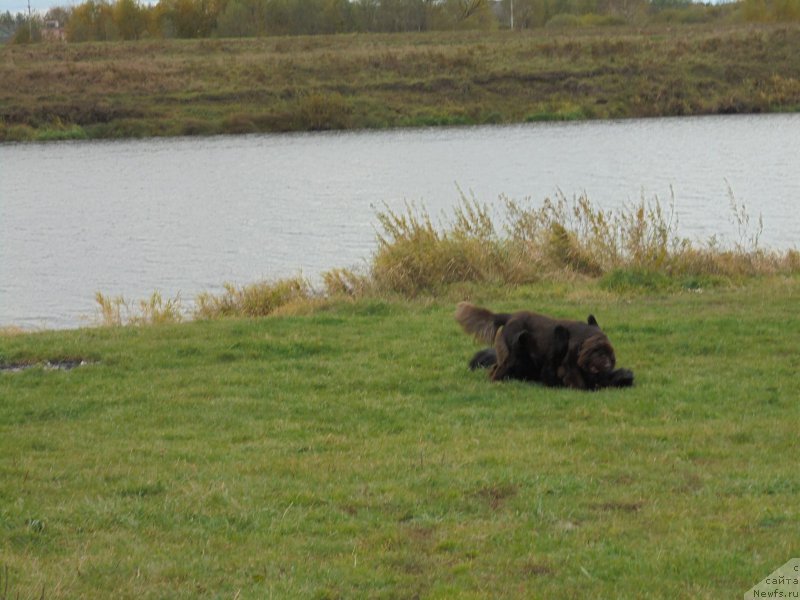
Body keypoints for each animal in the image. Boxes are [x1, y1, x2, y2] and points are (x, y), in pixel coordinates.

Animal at [456, 302, 632, 392]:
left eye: (611, 356)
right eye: (601, 354)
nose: (609, 364)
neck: (583, 339)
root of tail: (509, 317)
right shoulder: (569, 365)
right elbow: (577, 379)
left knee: (494, 368)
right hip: (512, 354)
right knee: (497, 370)